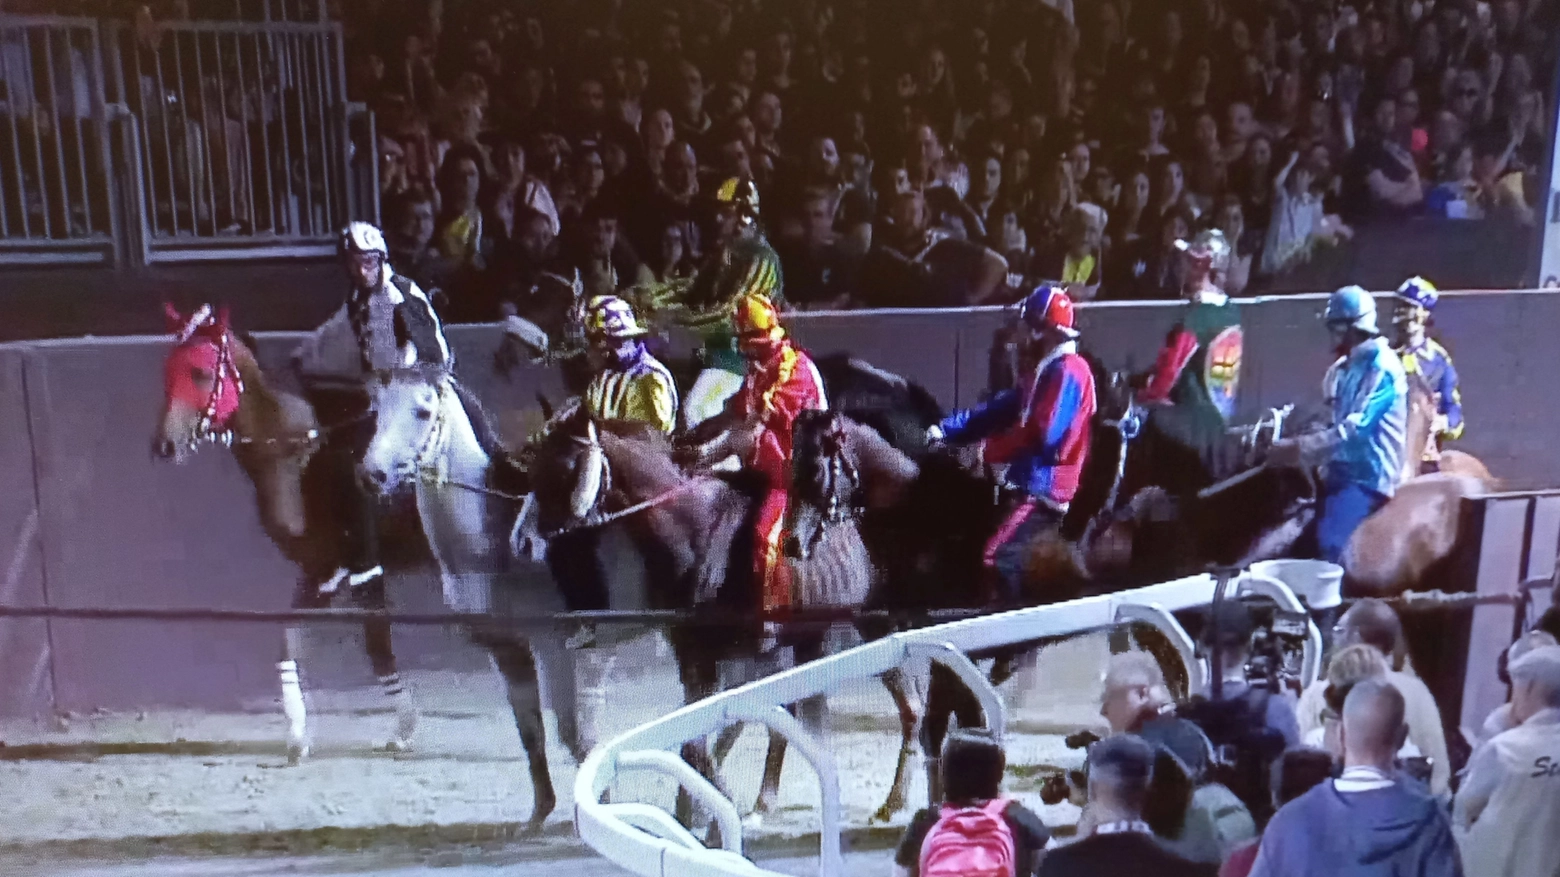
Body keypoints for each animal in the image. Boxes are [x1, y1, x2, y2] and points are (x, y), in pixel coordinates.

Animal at [152, 304, 418, 761]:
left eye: (200, 372)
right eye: (168, 370)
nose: (164, 444)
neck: (302, 454)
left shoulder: (364, 567)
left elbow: (378, 645)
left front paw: (404, 727)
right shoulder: (321, 570)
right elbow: (289, 642)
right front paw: (297, 734)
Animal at [357, 366, 586, 823]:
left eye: (424, 411)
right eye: (377, 408)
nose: (372, 475)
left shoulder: (554, 645)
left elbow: (573, 734)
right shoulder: (507, 649)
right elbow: (530, 731)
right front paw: (539, 813)